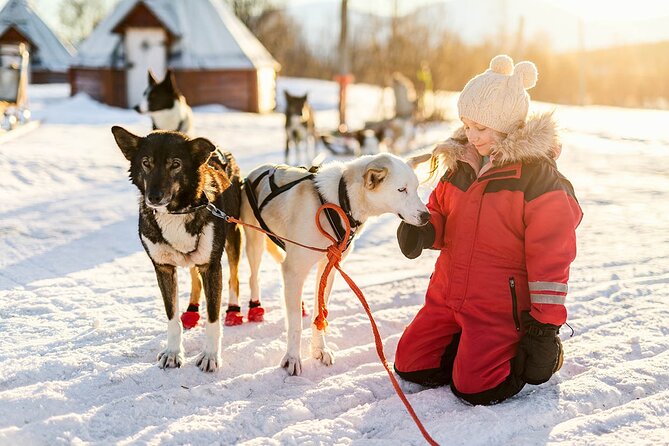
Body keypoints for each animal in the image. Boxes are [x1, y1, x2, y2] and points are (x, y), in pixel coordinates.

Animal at [112, 127, 243, 372]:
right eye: (146, 162)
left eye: (175, 164)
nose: (153, 197)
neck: (175, 212)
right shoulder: (163, 268)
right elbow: (171, 316)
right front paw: (173, 353)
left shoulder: (211, 267)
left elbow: (213, 318)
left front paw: (210, 355)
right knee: (194, 278)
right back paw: (191, 310)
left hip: (234, 238)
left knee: (235, 278)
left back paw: (234, 310)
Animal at [240, 153, 428, 376]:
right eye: (401, 189)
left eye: (416, 187)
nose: (427, 216)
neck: (339, 202)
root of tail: (257, 170)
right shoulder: (294, 270)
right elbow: (295, 324)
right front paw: (292, 357)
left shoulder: (328, 267)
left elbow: (319, 311)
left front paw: (319, 349)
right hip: (255, 242)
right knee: (254, 277)